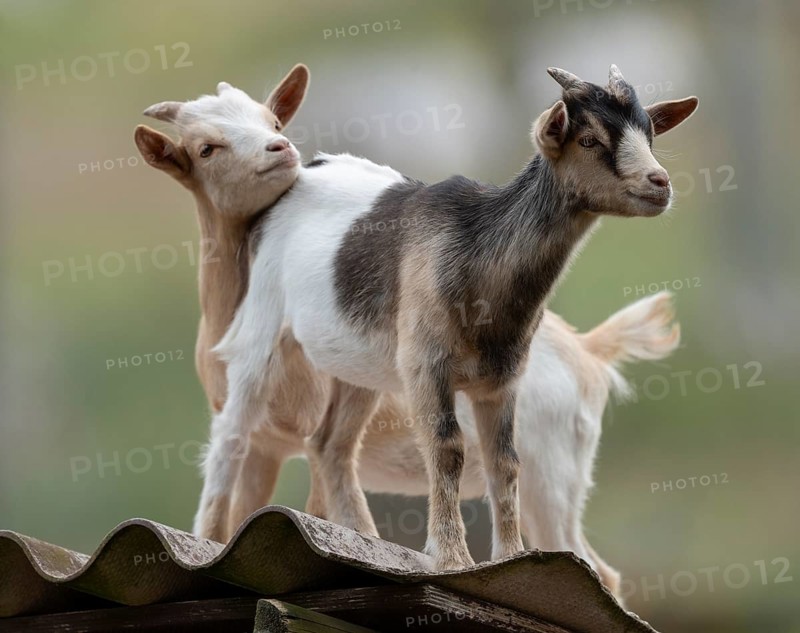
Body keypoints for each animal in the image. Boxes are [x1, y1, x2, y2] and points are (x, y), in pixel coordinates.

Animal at [208, 65, 698, 569]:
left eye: (649, 133)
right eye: (588, 139)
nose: (659, 183)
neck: (476, 250)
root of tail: (307, 171)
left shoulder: (502, 380)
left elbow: (506, 461)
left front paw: (509, 556)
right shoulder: (427, 364)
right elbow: (447, 448)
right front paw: (452, 558)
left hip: (357, 364)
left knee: (330, 445)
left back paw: (362, 536)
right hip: (263, 324)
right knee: (232, 432)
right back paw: (211, 533)